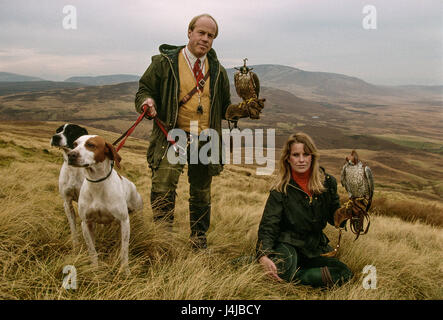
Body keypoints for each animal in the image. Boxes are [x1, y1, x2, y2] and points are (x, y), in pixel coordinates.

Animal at [67, 134, 142, 274]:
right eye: (74, 144)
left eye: (91, 145)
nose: (71, 155)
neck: (97, 183)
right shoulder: (86, 223)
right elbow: (92, 250)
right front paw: (95, 269)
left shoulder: (124, 221)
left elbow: (124, 251)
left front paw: (125, 270)